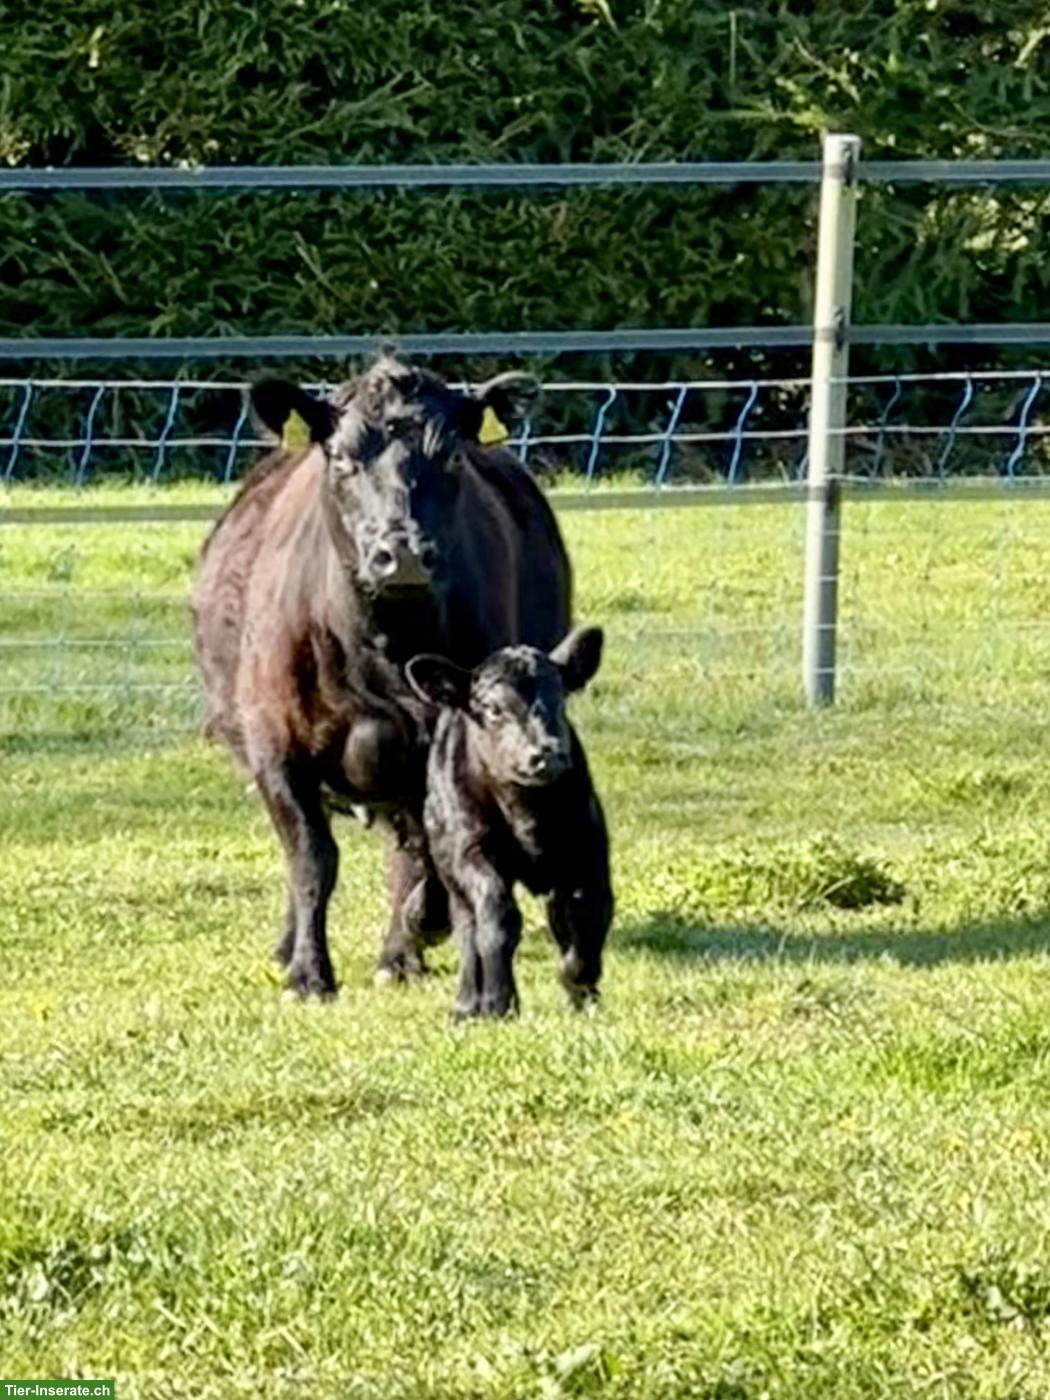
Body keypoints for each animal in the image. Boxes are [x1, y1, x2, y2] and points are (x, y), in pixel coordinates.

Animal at [190, 357, 572, 998]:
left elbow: (428, 855)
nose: (405, 555)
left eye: (450, 456)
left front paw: (420, 927)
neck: (382, 649)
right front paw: (307, 973)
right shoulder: (275, 746)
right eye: (343, 458)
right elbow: (311, 859)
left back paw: (404, 948)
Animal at [405, 627, 612, 1018]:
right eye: (493, 709)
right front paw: (496, 1002)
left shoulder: (587, 854)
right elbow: (498, 916)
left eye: (561, 699)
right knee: (470, 928)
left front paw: (580, 988)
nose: (546, 754)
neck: (528, 813)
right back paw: (469, 1004)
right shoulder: (470, 851)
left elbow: (587, 916)